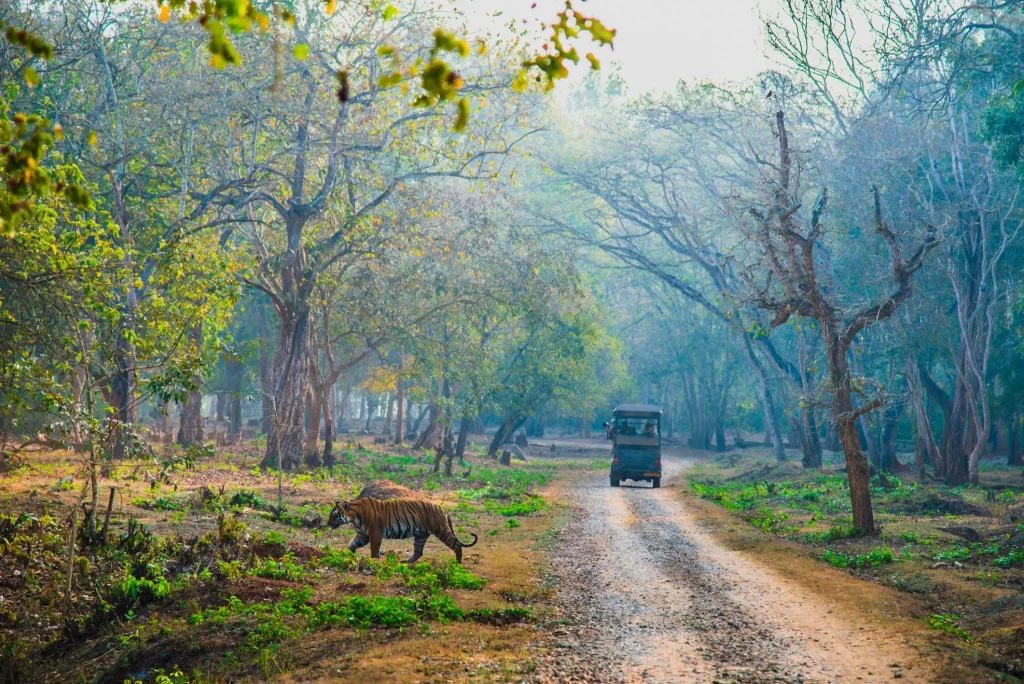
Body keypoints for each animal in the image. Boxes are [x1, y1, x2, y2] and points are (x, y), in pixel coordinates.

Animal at [328, 497, 478, 564]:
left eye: (334, 515)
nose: (328, 524)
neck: (354, 517)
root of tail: (442, 508)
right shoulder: (362, 535)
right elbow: (351, 545)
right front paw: (350, 555)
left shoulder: (375, 533)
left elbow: (374, 550)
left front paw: (373, 562)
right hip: (420, 535)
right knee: (418, 551)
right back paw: (407, 562)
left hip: (441, 530)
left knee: (457, 545)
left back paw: (458, 563)